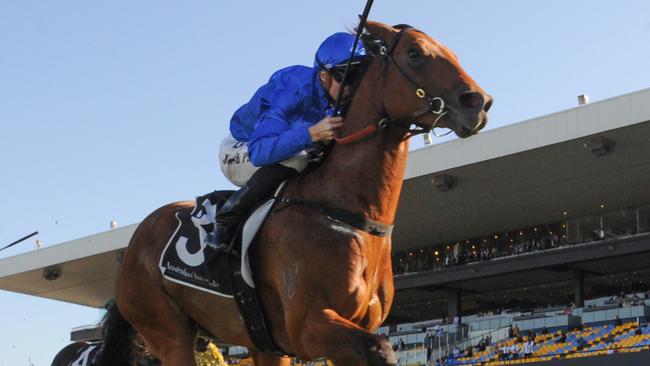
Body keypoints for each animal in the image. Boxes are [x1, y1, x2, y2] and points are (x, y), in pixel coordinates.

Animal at [104, 21, 488, 366]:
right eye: (414, 53)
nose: (479, 103)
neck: (348, 213)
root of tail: (134, 243)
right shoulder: (309, 327)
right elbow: (382, 348)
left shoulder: (346, 330)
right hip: (167, 331)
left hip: (259, 342)